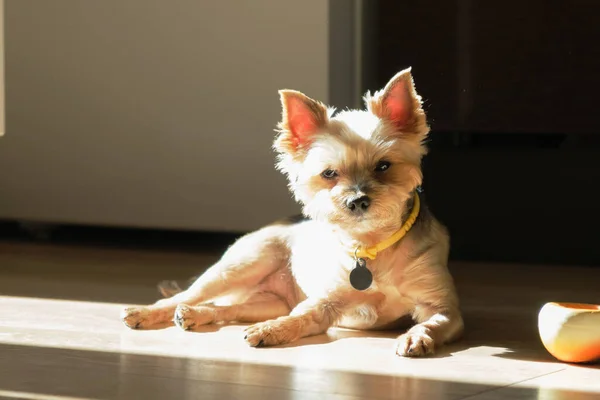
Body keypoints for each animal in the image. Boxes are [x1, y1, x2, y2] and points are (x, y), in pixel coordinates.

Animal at [122, 68, 464, 356]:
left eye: (383, 167)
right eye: (329, 174)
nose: (356, 201)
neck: (372, 244)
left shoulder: (443, 308)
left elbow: (431, 322)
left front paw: (415, 336)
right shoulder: (326, 301)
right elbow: (302, 316)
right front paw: (273, 331)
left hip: (267, 300)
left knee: (228, 309)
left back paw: (196, 315)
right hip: (241, 265)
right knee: (186, 295)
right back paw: (147, 312)